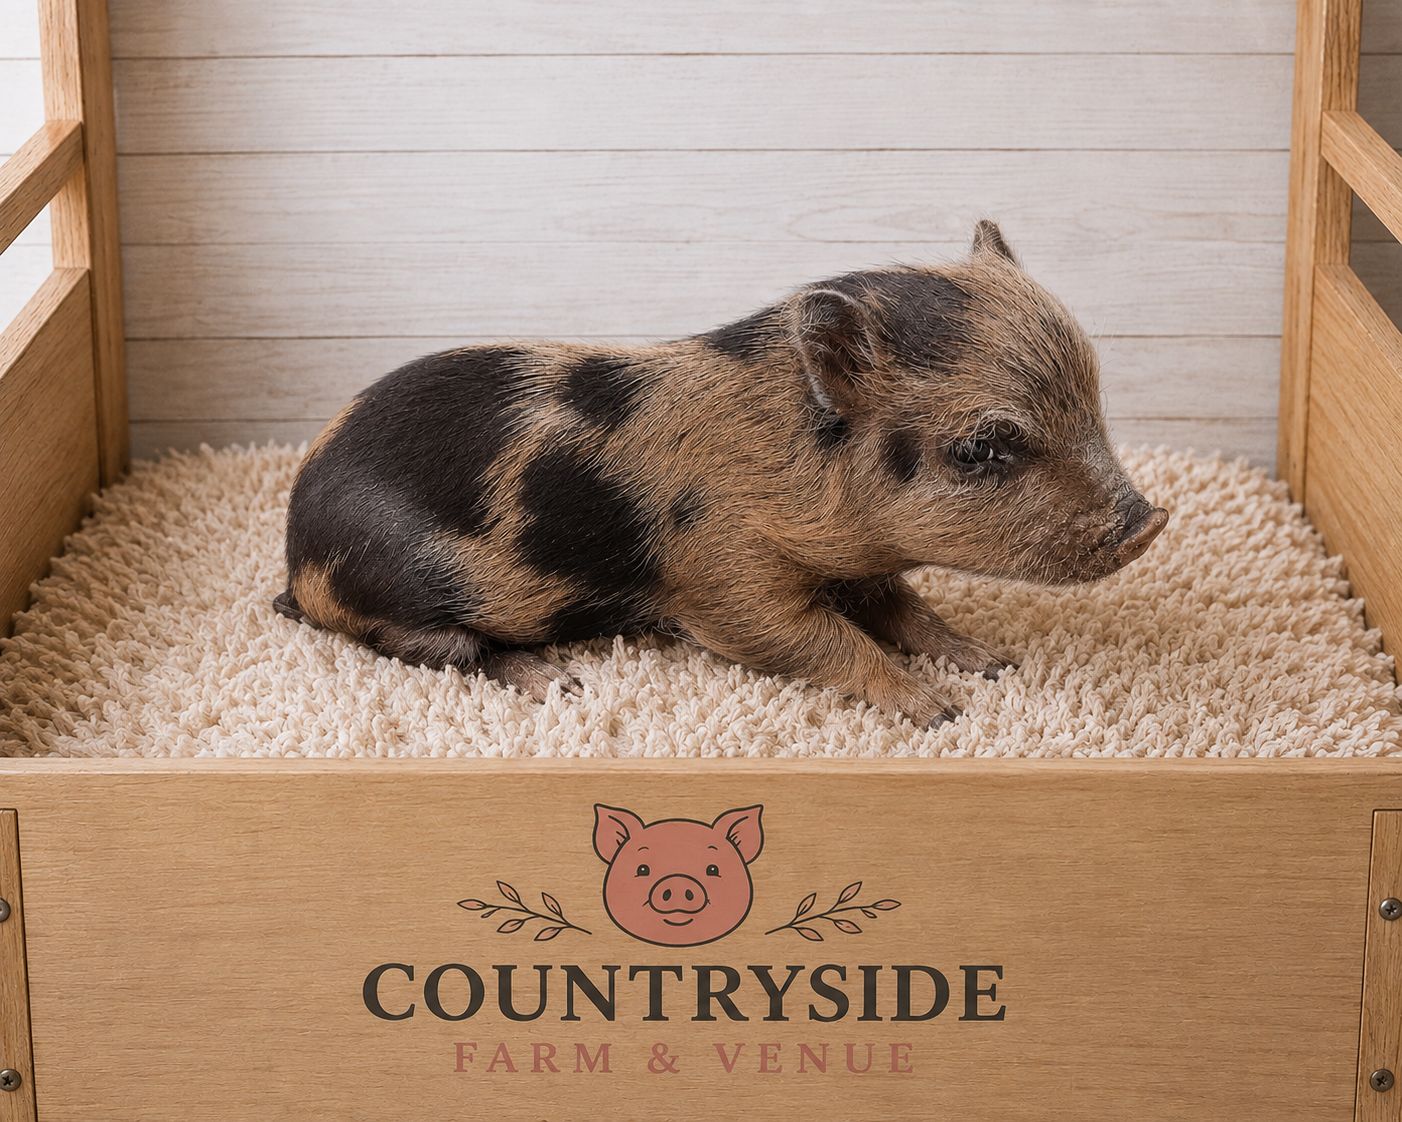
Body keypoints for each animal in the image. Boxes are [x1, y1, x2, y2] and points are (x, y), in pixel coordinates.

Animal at [276, 220, 1168, 727]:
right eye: (982, 450)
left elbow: (912, 613)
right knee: (442, 650)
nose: (1149, 523)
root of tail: (294, 554)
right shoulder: (722, 578)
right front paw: (939, 712)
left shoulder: (861, 569)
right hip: (400, 596)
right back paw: (561, 683)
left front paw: (992, 662)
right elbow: (819, 638)